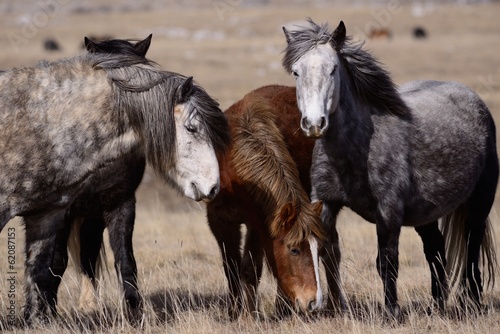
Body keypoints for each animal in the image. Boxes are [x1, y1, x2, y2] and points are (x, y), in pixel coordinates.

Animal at [0, 37, 230, 324]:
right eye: (192, 128)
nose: (213, 186)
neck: (44, 122)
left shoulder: (53, 213)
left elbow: (44, 270)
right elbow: (54, 266)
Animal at [206, 84, 324, 318]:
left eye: (317, 249)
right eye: (294, 250)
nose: (314, 303)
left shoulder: (258, 223)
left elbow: (250, 269)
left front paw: (250, 315)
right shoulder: (219, 221)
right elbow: (231, 267)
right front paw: (235, 313)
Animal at [284, 19, 498, 320]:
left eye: (333, 69)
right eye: (296, 71)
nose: (314, 123)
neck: (355, 149)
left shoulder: (389, 211)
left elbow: (386, 261)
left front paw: (392, 311)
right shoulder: (325, 203)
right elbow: (324, 252)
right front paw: (334, 307)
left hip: (480, 202)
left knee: (472, 246)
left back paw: (473, 303)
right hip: (426, 214)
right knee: (435, 250)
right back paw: (436, 305)